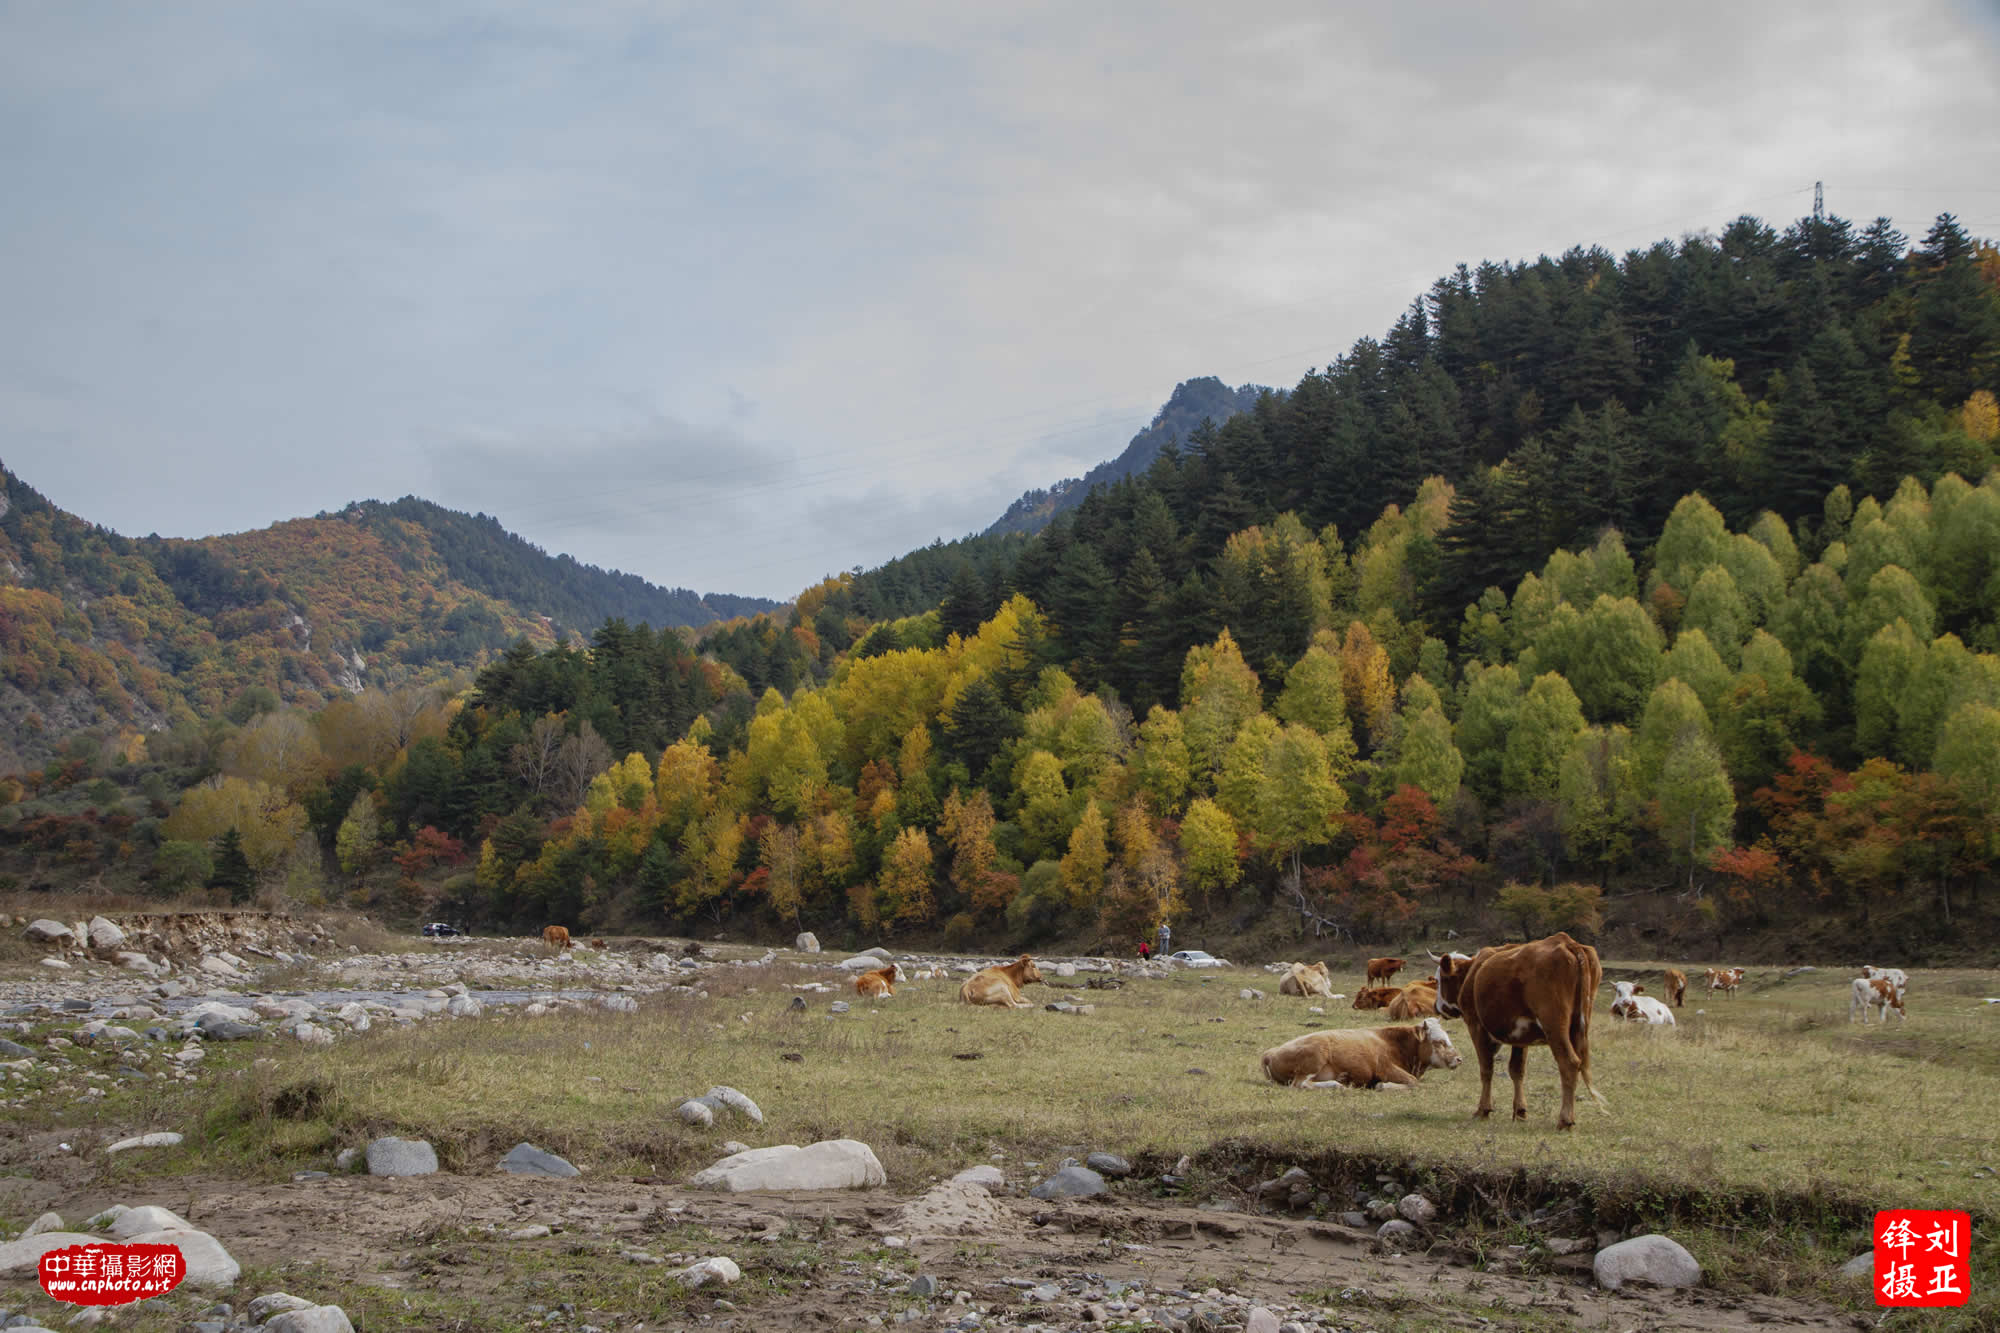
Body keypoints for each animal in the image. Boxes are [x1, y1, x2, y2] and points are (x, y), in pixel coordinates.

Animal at [1264, 1016, 1472, 1088]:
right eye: (1439, 1041)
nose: (1459, 1059)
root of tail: (1271, 1052)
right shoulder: (1386, 1068)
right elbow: (1412, 1082)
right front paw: (1382, 1086)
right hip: (1314, 1059)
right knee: (1301, 1084)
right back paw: (1338, 1085)